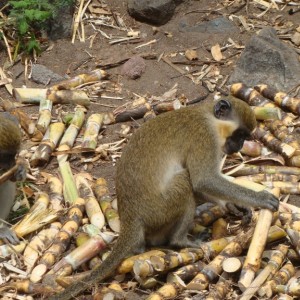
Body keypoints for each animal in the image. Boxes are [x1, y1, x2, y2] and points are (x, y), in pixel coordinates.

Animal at [51, 96, 278, 300]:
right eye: (240, 134)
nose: (239, 147)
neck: (208, 117)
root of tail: (130, 219)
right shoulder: (205, 137)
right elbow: (203, 180)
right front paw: (259, 198)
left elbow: (202, 186)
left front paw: (235, 206)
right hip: (160, 209)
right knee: (185, 181)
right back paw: (180, 241)